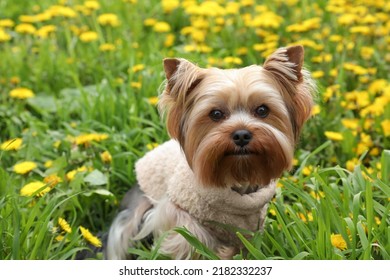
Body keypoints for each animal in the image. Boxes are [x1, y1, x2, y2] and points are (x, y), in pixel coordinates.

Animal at [105, 44, 316, 260]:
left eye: (262, 110)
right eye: (215, 114)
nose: (241, 135)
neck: (234, 177)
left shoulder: (251, 223)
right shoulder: (173, 209)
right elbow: (186, 236)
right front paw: (211, 251)